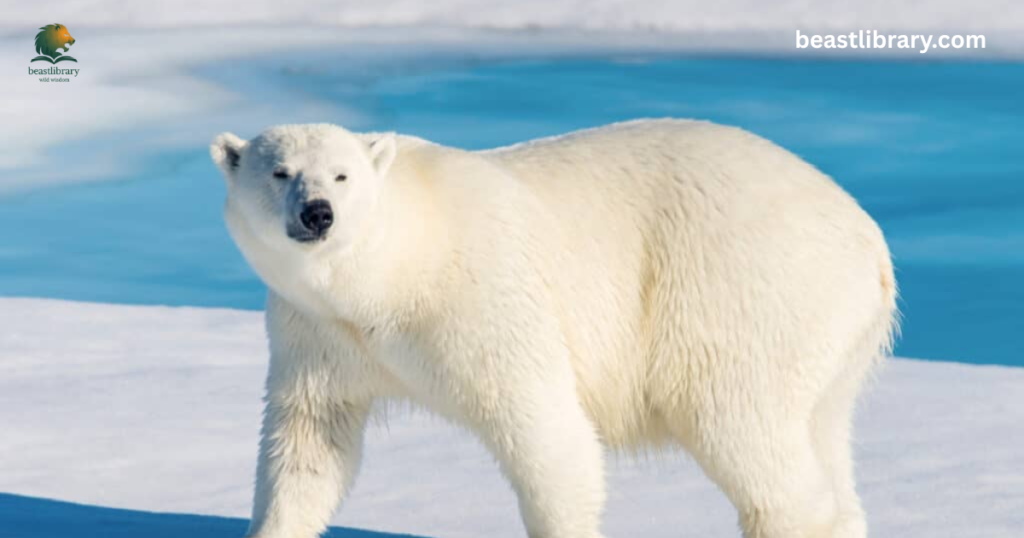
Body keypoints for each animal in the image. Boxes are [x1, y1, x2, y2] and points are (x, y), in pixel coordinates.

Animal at [210, 119, 898, 538]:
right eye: (280, 172)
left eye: (342, 174)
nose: (317, 213)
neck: (398, 268)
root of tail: (869, 239)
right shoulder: (318, 332)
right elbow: (309, 444)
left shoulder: (483, 301)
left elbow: (546, 431)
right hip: (830, 335)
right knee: (821, 431)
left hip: (741, 291)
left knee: (738, 423)